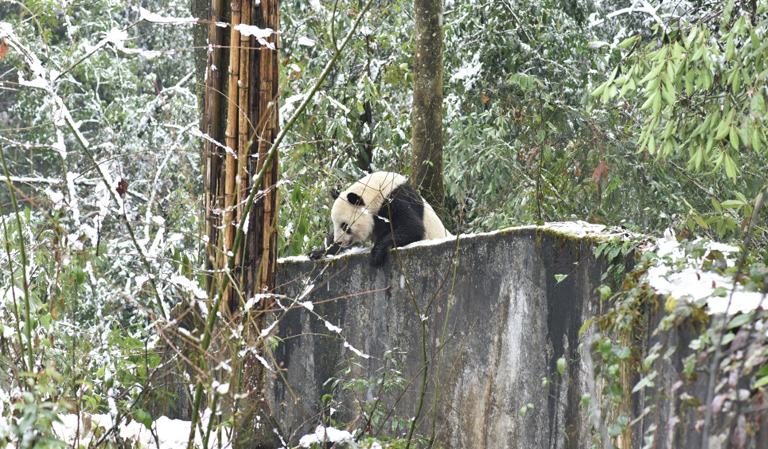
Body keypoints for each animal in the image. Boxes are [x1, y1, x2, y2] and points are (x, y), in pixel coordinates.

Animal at [306, 172, 450, 266]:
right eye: (335, 224)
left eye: (344, 225)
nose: (340, 242)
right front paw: (318, 252)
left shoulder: (396, 198)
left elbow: (412, 228)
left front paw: (376, 253)